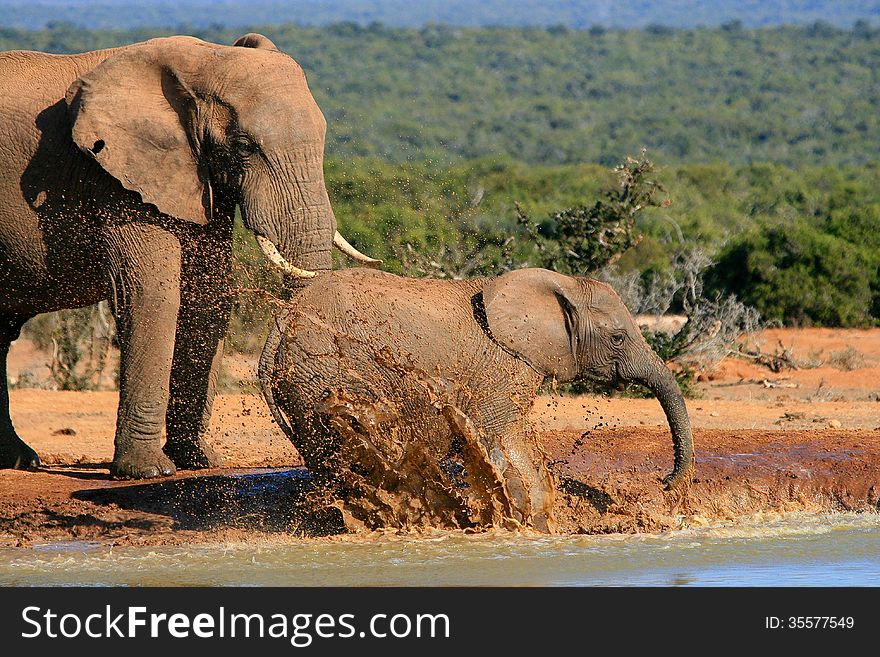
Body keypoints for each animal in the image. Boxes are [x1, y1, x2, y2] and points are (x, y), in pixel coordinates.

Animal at [0, 32, 374, 476]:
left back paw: (19, 459)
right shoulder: (115, 175)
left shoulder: (197, 176)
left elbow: (208, 298)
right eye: (244, 147)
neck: (202, 61)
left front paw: (199, 460)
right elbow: (154, 295)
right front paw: (148, 470)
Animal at [262, 266, 696, 532]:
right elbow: (503, 439)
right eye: (618, 338)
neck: (560, 284)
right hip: (327, 372)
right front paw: (528, 525)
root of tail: (280, 323)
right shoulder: (501, 367)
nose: (665, 483)